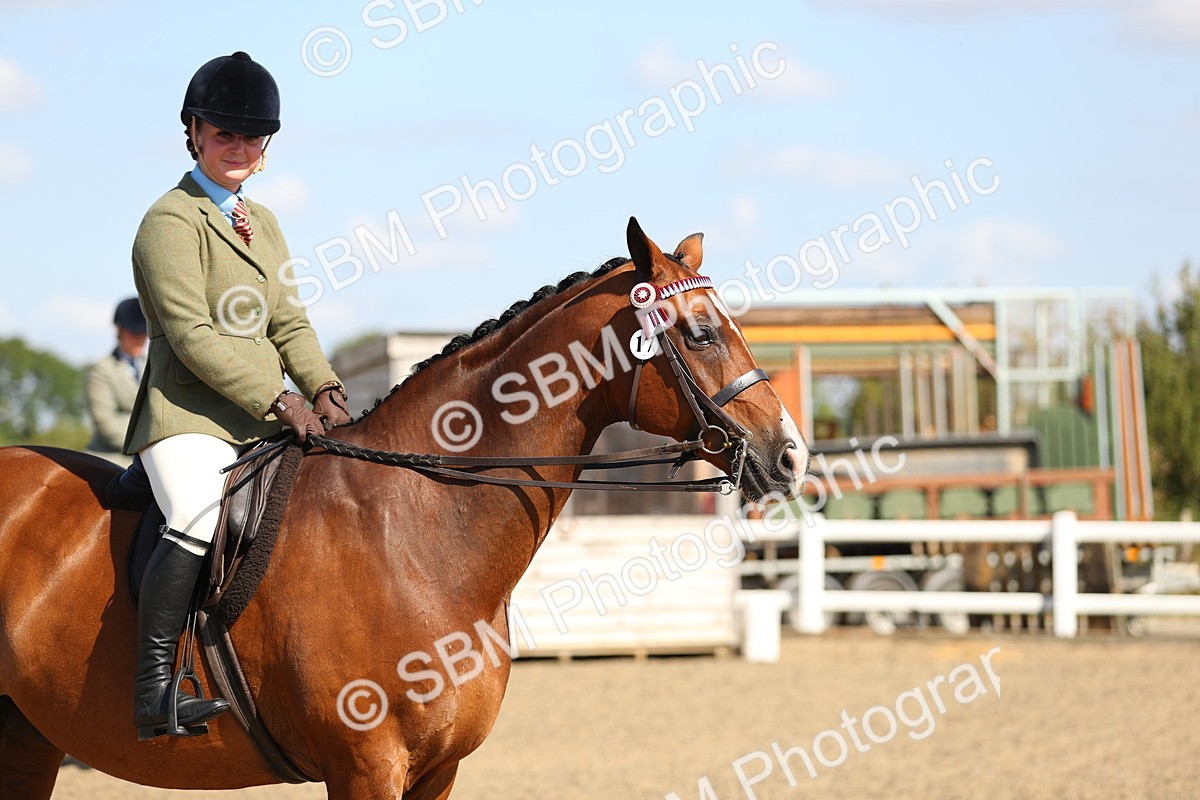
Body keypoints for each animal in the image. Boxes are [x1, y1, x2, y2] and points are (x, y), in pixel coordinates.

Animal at [0, 218, 807, 799]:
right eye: (700, 332)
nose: (791, 456)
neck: (414, 532)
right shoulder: (365, 768)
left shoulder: (437, 772)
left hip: (28, 742)